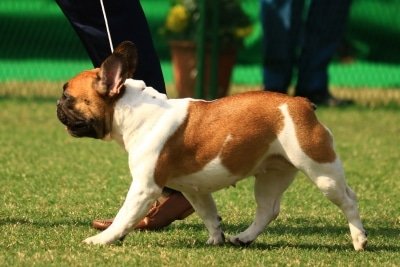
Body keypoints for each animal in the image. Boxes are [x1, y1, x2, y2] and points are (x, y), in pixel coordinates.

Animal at [57, 41, 368, 251]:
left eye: (68, 97)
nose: (57, 105)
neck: (131, 110)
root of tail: (302, 103)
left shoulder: (144, 187)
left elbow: (125, 216)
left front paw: (102, 239)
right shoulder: (194, 189)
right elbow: (208, 213)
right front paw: (215, 238)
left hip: (320, 168)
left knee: (348, 200)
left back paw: (359, 239)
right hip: (271, 174)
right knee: (267, 209)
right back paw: (244, 237)